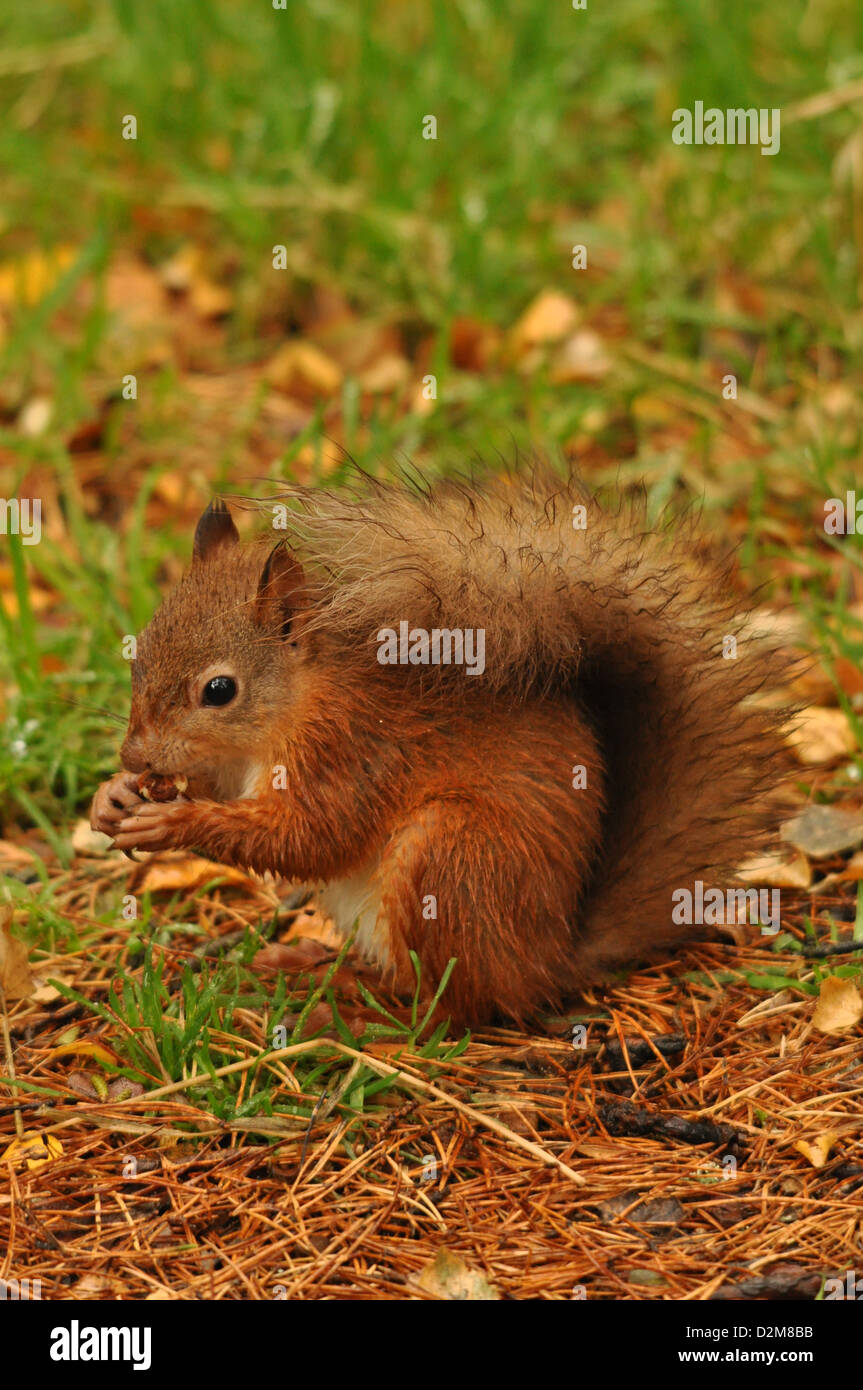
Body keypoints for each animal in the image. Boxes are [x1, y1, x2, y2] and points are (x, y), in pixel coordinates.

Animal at [90, 471, 790, 1029]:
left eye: (219, 690)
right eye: (140, 653)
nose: (134, 757)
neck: (295, 702)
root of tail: (548, 962)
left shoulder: (351, 749)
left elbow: (311, 839)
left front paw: (174, 821)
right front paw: (113, 799)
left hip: (450, 855)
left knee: (455, 1011)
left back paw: (359, 1017)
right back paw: (315, 965)